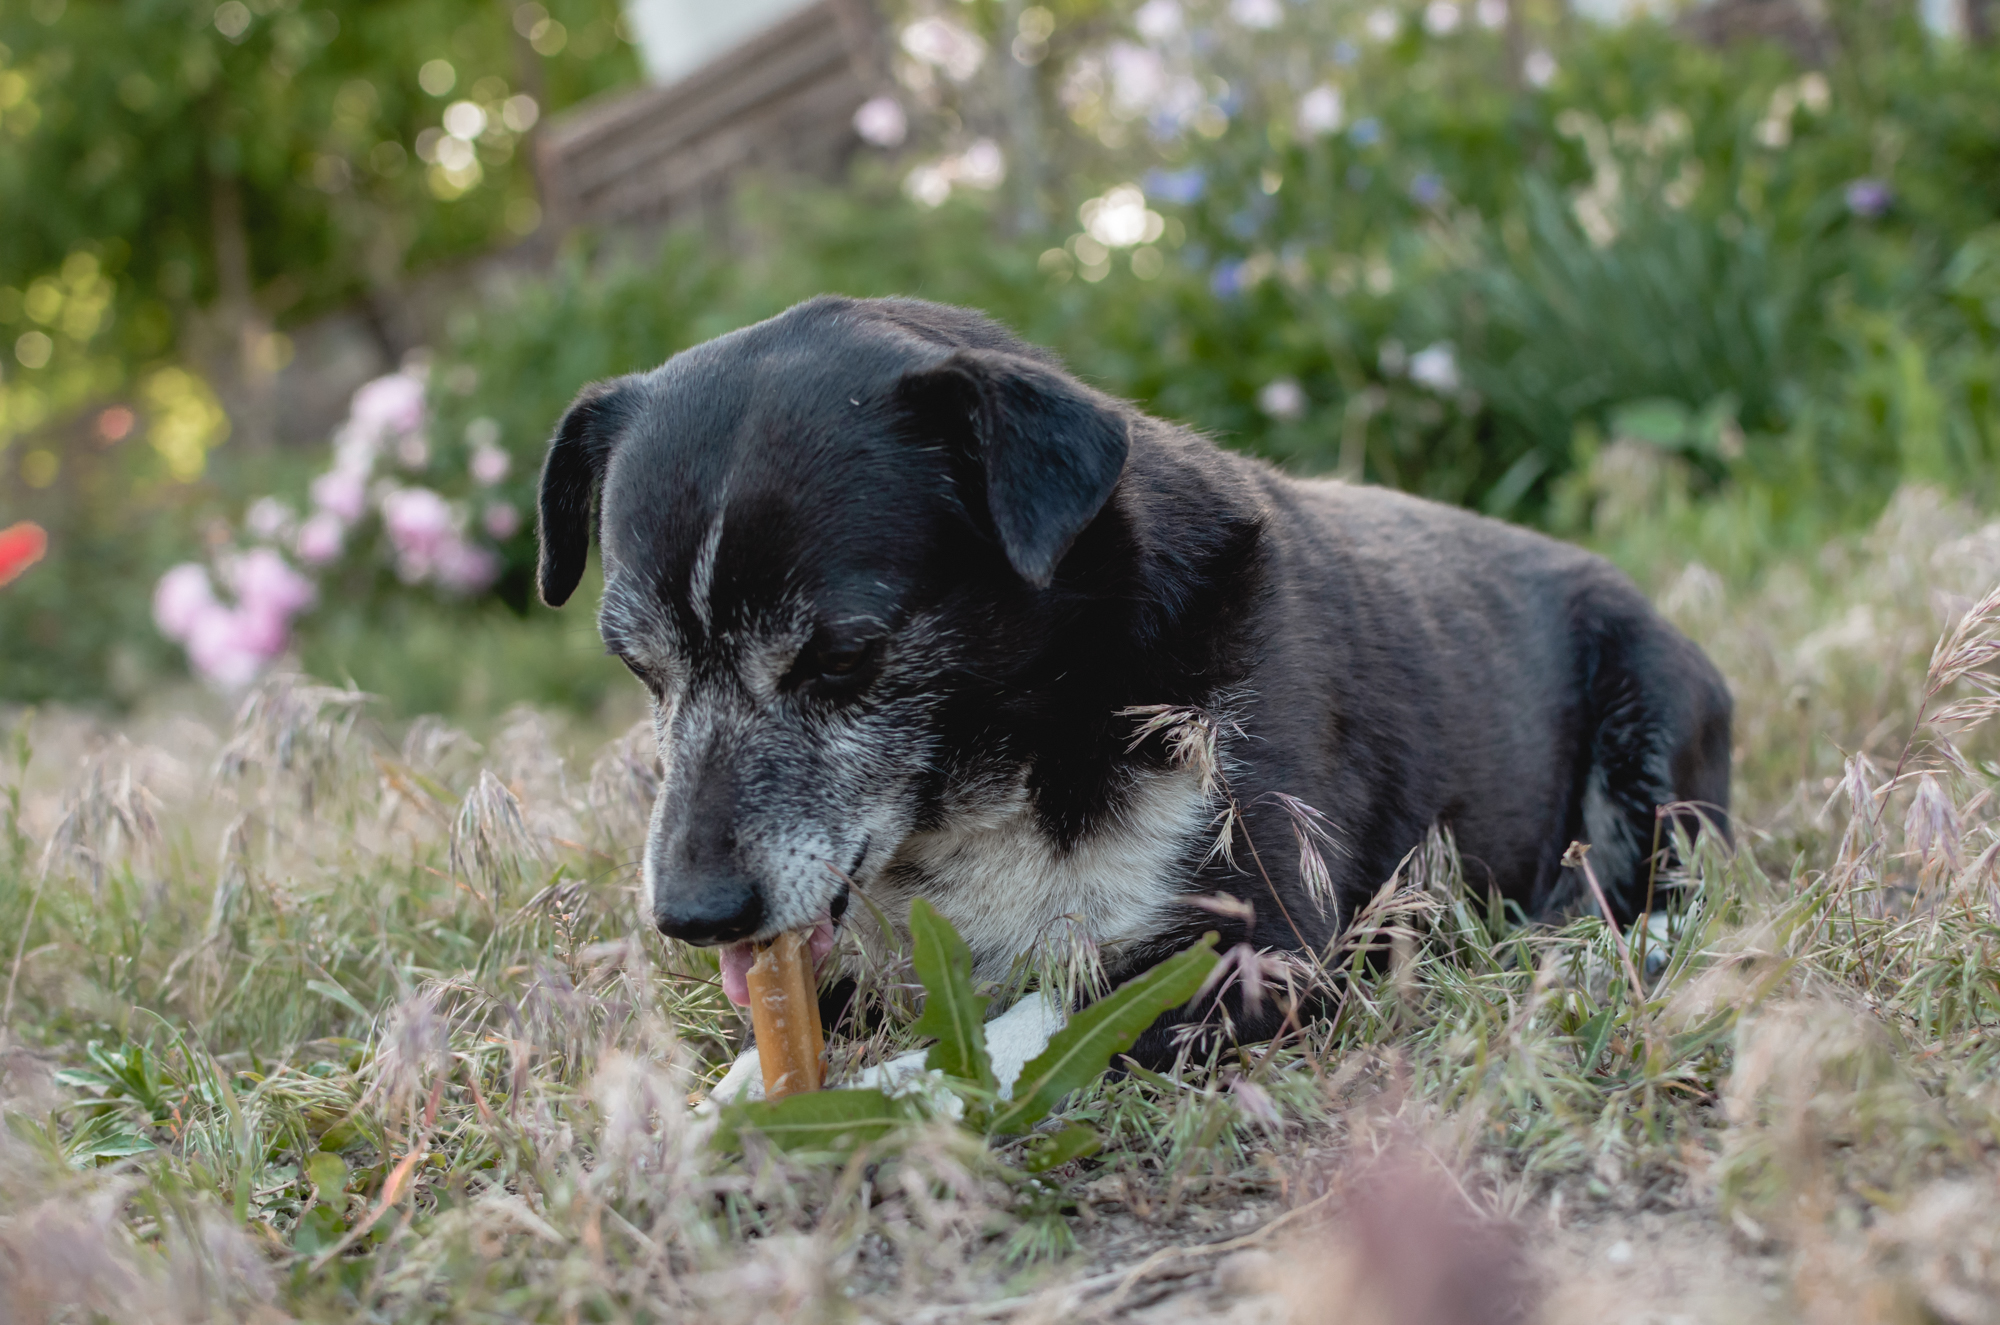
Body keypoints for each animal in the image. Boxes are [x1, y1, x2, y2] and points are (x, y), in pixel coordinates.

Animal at [536, 294, 1736, 1056]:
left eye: (842, 657)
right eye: (639, 667)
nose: (692, 914)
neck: (1026, 743)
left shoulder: (1247, 953)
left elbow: (1008, 1040)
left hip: (1649, 717)